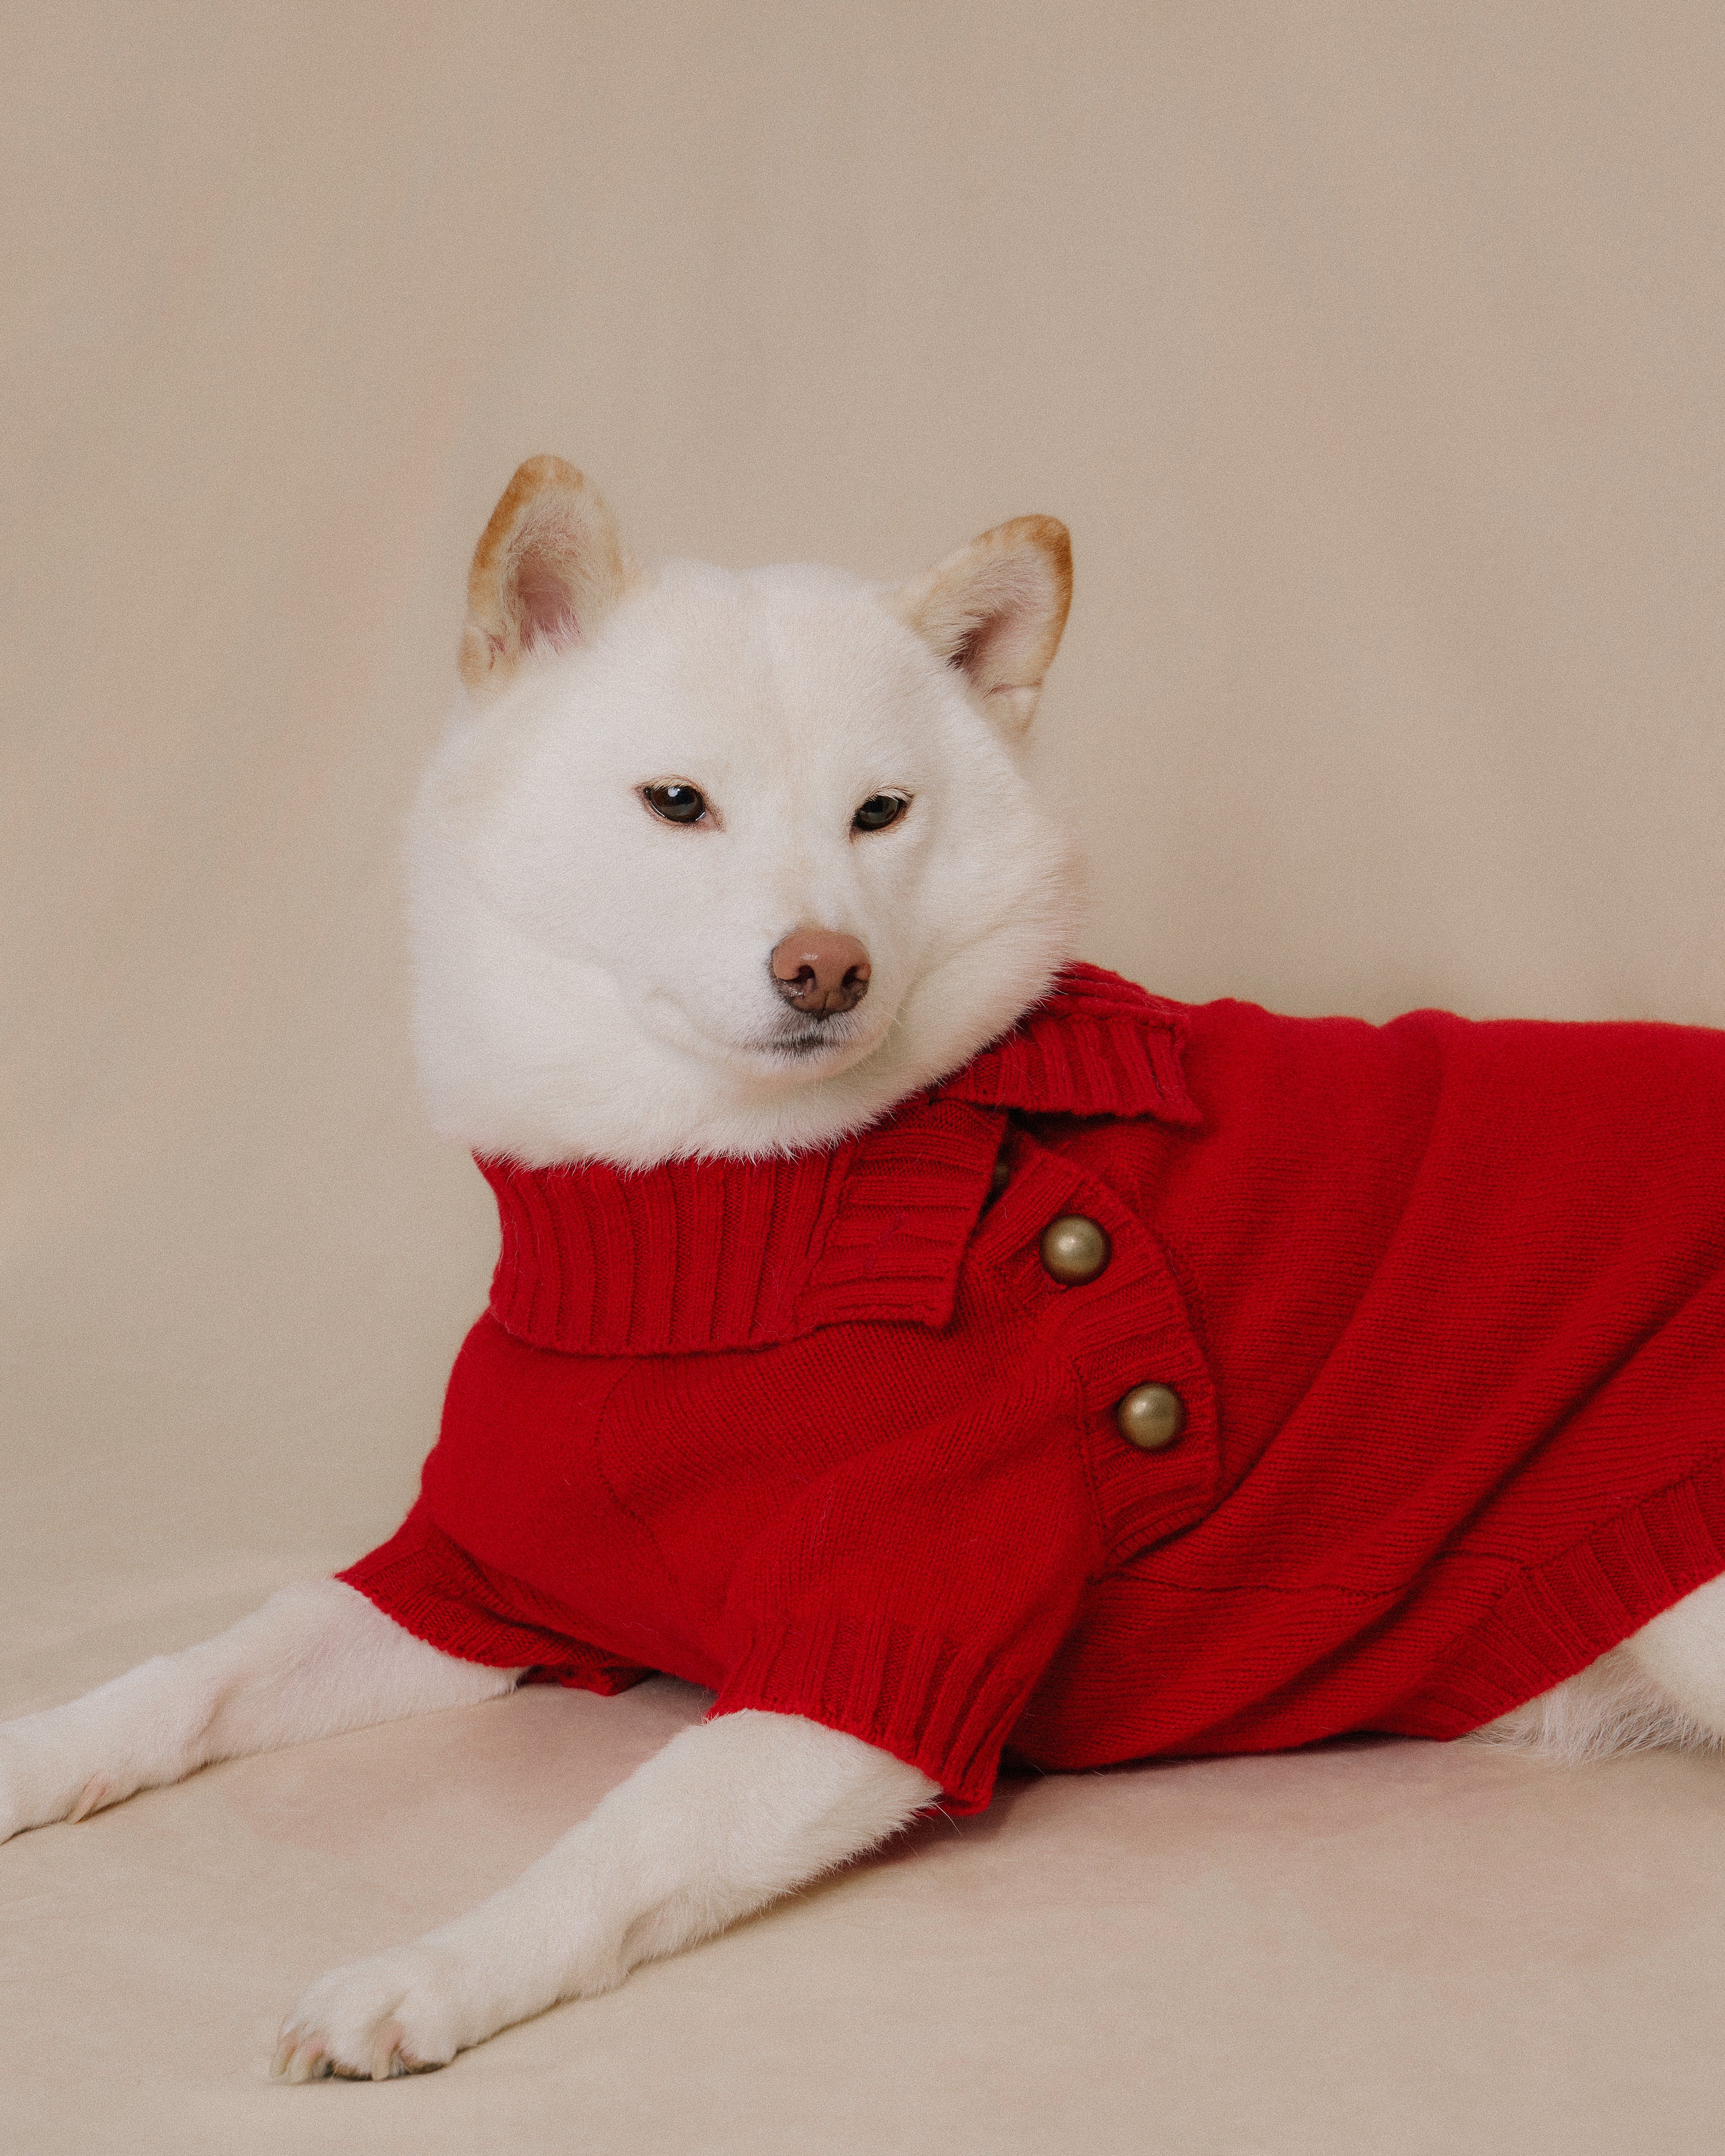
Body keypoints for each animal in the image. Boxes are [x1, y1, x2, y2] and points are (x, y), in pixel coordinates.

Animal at [3, 459, 1725, 2070]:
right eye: (677, 801)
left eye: (881, 815)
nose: (823, 968)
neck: (708, 1209)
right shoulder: (470, 1582)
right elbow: (199, 1670)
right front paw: (41, 1749)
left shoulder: (872, 1662)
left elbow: (611, 1847)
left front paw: (430, 1969)